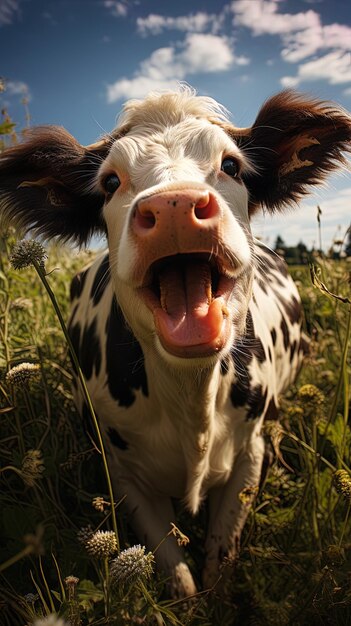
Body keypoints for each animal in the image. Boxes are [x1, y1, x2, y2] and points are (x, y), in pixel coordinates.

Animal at [0, 88, 350, 596]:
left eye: (231, 165)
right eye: (110, 181)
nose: (174, 206)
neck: (191, 401)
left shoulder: (252, 454)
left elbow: (221, 558)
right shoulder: (123, 474)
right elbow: (173, 572)